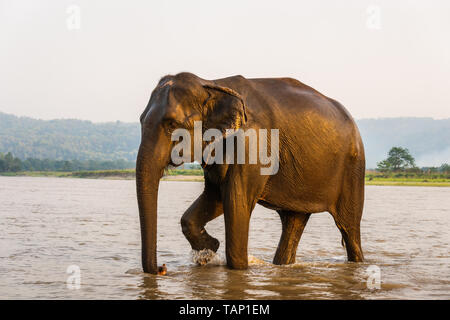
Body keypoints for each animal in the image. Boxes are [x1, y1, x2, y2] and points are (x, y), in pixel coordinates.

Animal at [135, 72, 364, 272]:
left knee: (349, 227)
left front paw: (228, 262)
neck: (211, 83)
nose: (162, 268)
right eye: (140, 121)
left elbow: (236, 202)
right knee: (293, 222)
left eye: (172, 124)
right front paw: (209, 249)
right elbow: (214, 197)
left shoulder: (252, 145)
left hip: (353, 167)